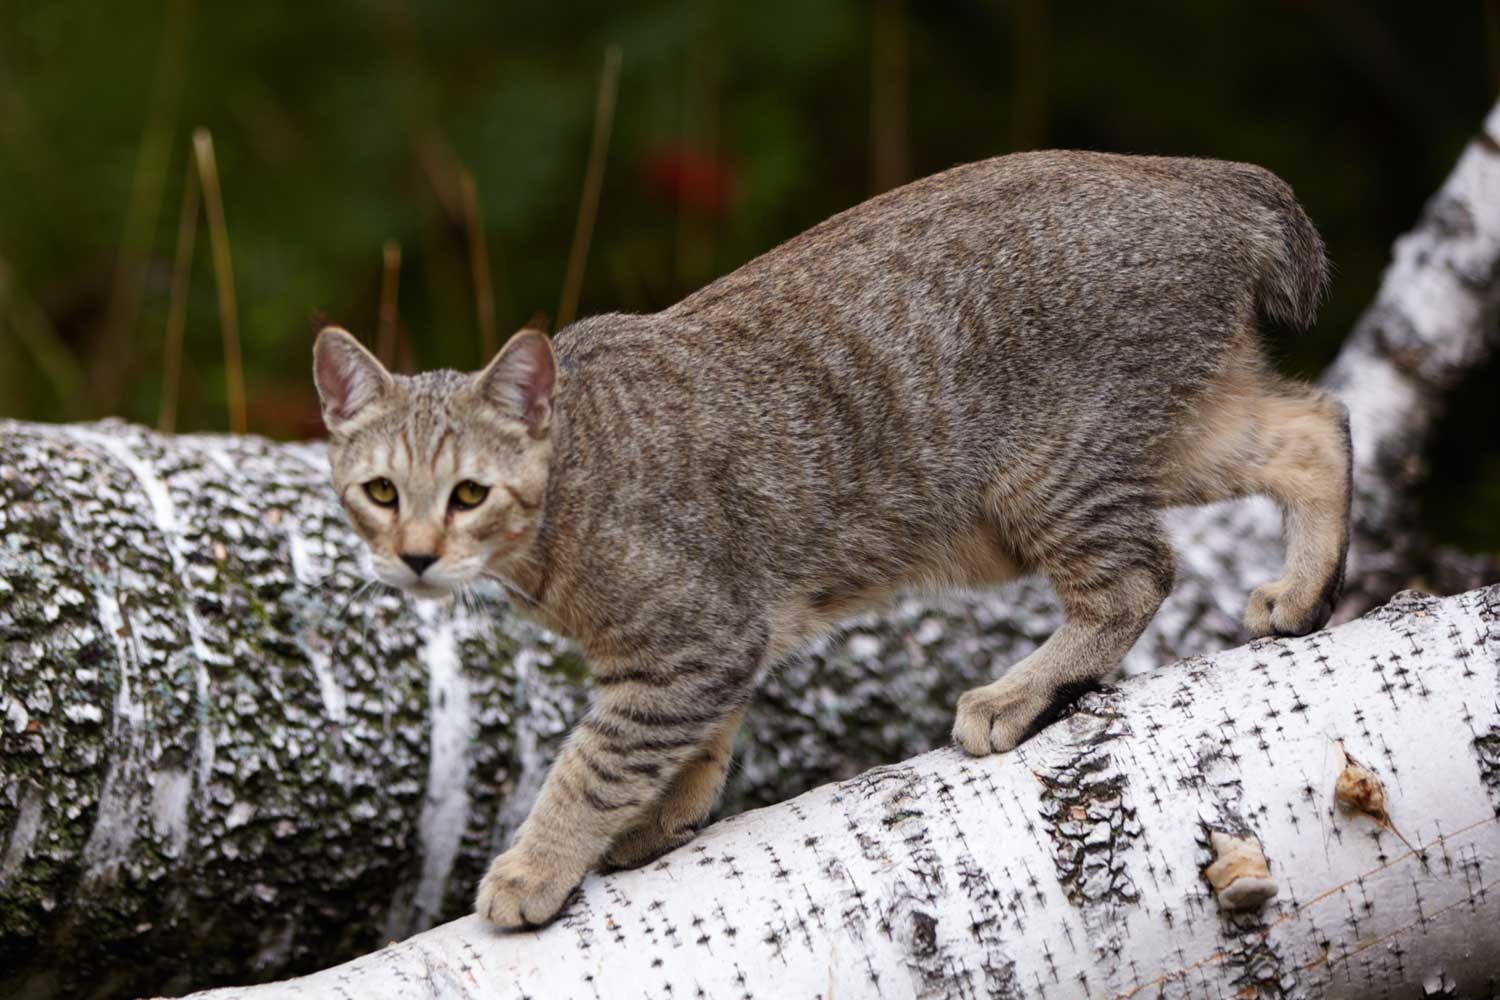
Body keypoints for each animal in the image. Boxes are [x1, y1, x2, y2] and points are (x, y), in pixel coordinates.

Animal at [313, 150, 1350, 929]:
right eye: (379, 491)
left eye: (469, 494)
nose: (414, 554)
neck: (569, 493)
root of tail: (1200, 173)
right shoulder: (709, 647)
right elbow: (693, 747)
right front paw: (660, 821)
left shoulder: (690, 643)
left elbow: (593, 765)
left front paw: (535, 867)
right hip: (1173, 434)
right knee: (1316, 426)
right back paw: (1303, 594)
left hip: (1049, 474)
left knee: (1138, 575)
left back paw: (1016, 694)